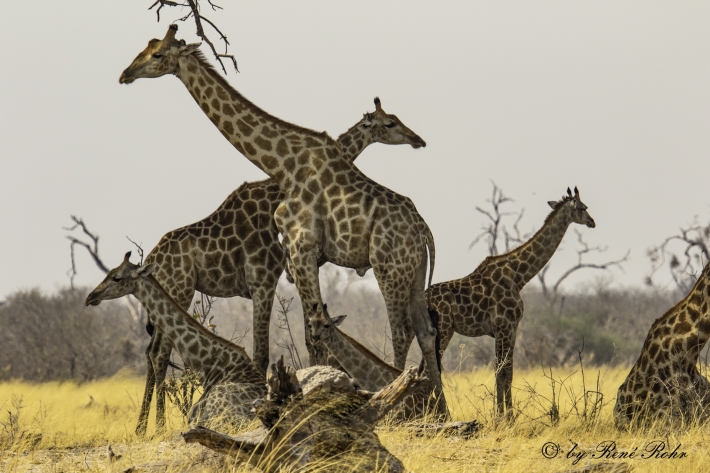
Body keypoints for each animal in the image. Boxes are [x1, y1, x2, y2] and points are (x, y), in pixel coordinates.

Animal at [425, 188, 595, 416]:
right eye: (583, 208)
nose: (592, 222)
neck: (518, 276)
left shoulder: (512, 328)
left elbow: (508, 372)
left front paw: (508, 415)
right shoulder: (503, 326)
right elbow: (500, 371)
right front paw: (502, 417)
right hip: (443, 329)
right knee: (430, 369)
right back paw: (437, 414)